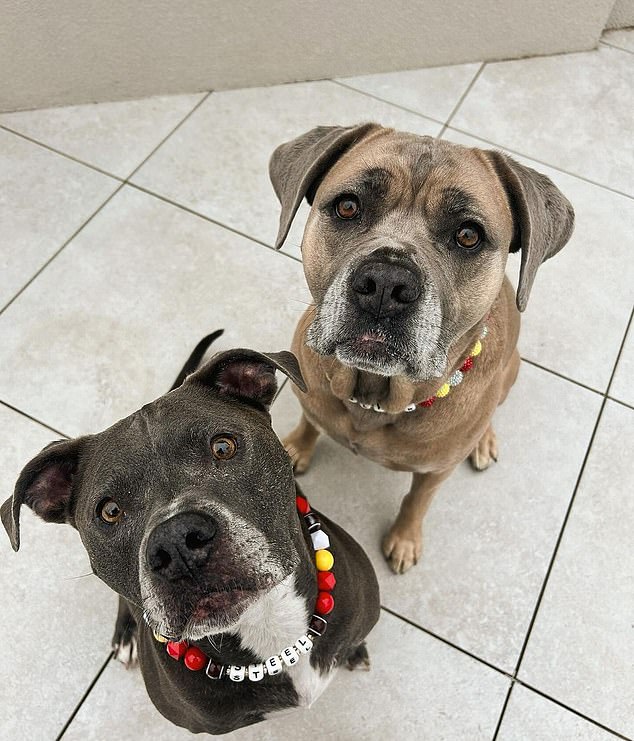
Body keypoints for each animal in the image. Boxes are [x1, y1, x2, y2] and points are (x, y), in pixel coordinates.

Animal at [266, 125, 572, 572]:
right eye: (347, 206)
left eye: (468, 235)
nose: (385, 283)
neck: (374, 395)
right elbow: (310, 422)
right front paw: (296, 447)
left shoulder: (435, 471)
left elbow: (416, 500)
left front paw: (404, 538)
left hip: (512, 371)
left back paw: (484, 440)